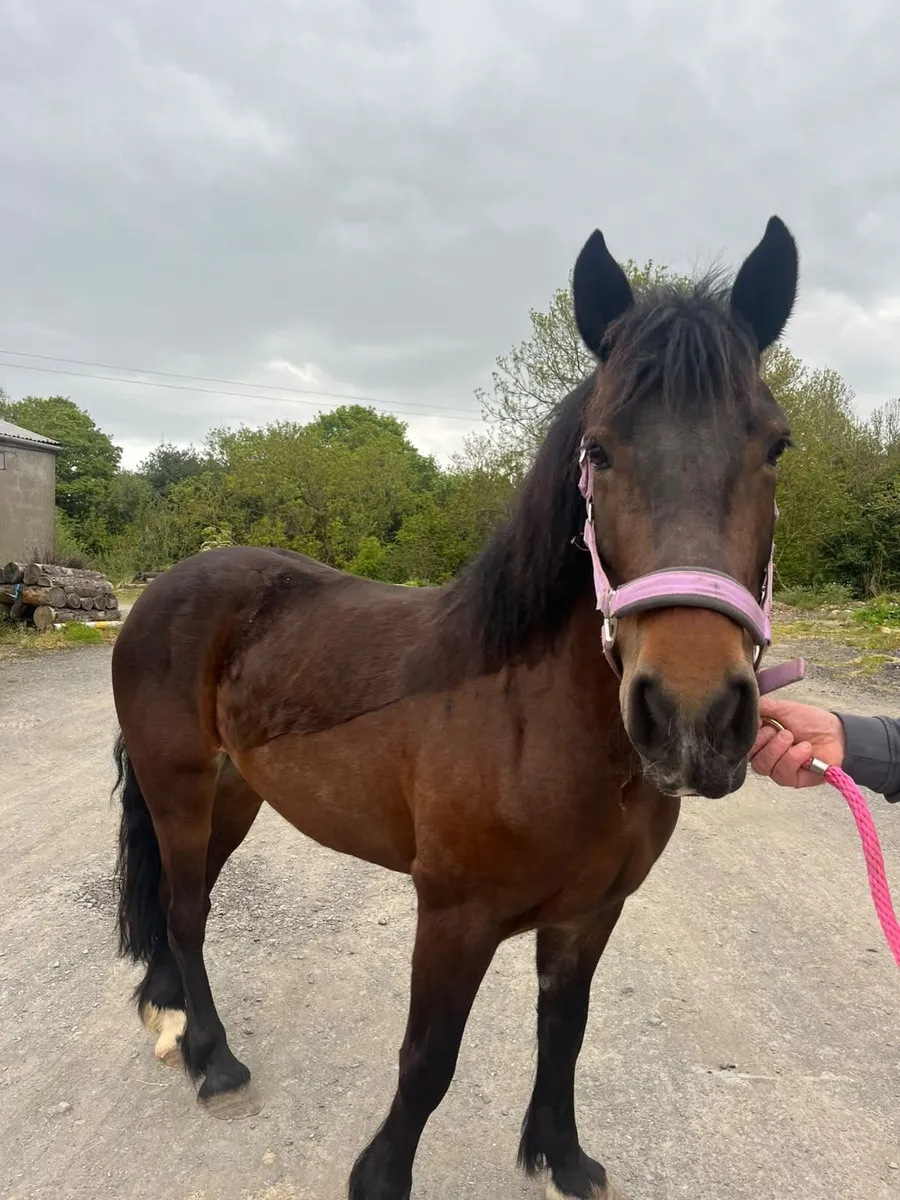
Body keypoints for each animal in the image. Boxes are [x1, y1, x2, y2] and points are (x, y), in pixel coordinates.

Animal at [111, 215, 799, 1200]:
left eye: (776, 446)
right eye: (598, 450)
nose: (693, 716)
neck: (533, 726)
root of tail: (166, 587)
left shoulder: (590, 916)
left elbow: (565, 1034)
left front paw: (562, 1157)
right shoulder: (452, 920)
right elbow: (428, 1063)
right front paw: (379, 1177)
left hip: (233, 795)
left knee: (183, 899)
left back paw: (170, 1021)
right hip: (179, 787)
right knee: (185, 911)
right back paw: (214, 1058)